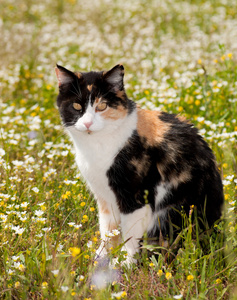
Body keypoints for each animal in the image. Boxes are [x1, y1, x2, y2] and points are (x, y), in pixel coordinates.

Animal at [55, 63, 224, 264]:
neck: (97, 146)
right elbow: (107, 230)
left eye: (102, 106)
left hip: (172, 213)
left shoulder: (136, 198)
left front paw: (125, 264)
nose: (88, 123)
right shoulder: (104, 198)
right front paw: (100, 259)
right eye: (76, 106)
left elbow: (130, 235)